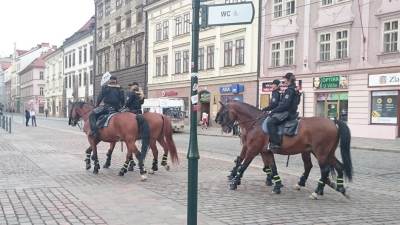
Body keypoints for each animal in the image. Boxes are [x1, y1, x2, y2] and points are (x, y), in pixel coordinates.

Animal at [216, 101, 354, 200]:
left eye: (223, 112)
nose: (223, 127)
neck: (256, 124)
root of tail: (332, 121)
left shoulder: (252, 149)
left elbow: (244, 165)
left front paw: (234, 182)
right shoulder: (266, 152)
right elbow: (272, 167)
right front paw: (277, 186)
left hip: (320, 153)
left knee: (324, 170)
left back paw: (317, 192)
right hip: (325, 153)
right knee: (338, 167)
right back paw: (340, 189)